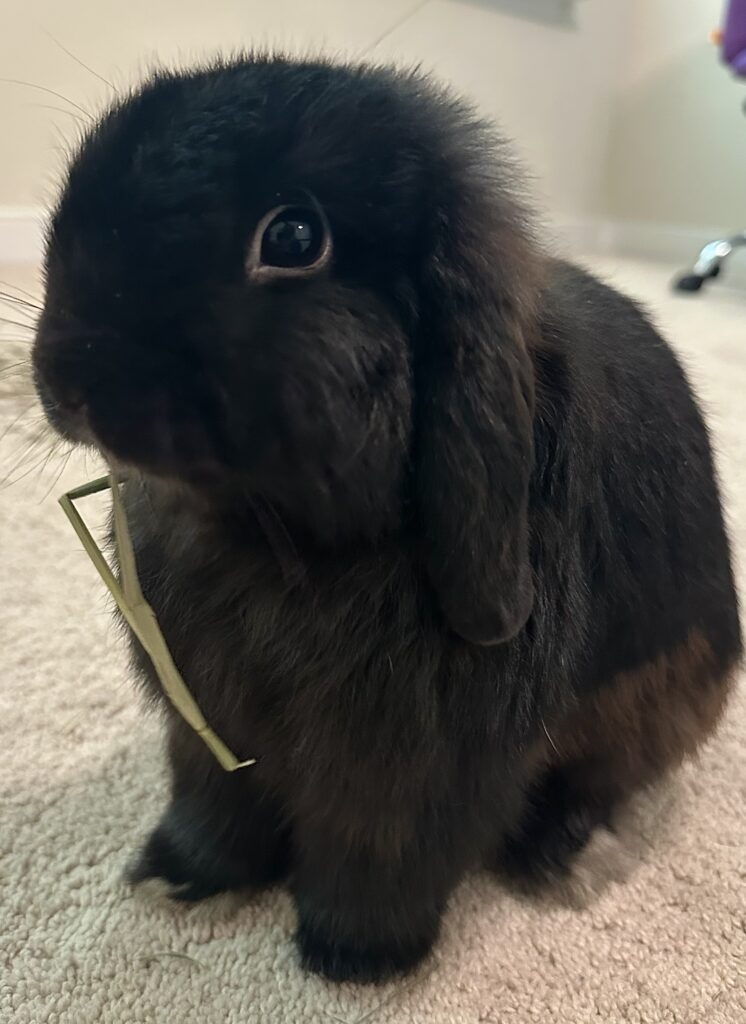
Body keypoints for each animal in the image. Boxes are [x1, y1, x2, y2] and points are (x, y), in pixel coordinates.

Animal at [32, 55, 741, 983]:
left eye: (294, 240)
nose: (66, 379)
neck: (269, 537)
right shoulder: (209, 726)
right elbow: (213, 803)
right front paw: (176, 880)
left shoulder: (415, 764)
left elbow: (382, 850)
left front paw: (354, 956)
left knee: (604, 781)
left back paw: (565, 856)